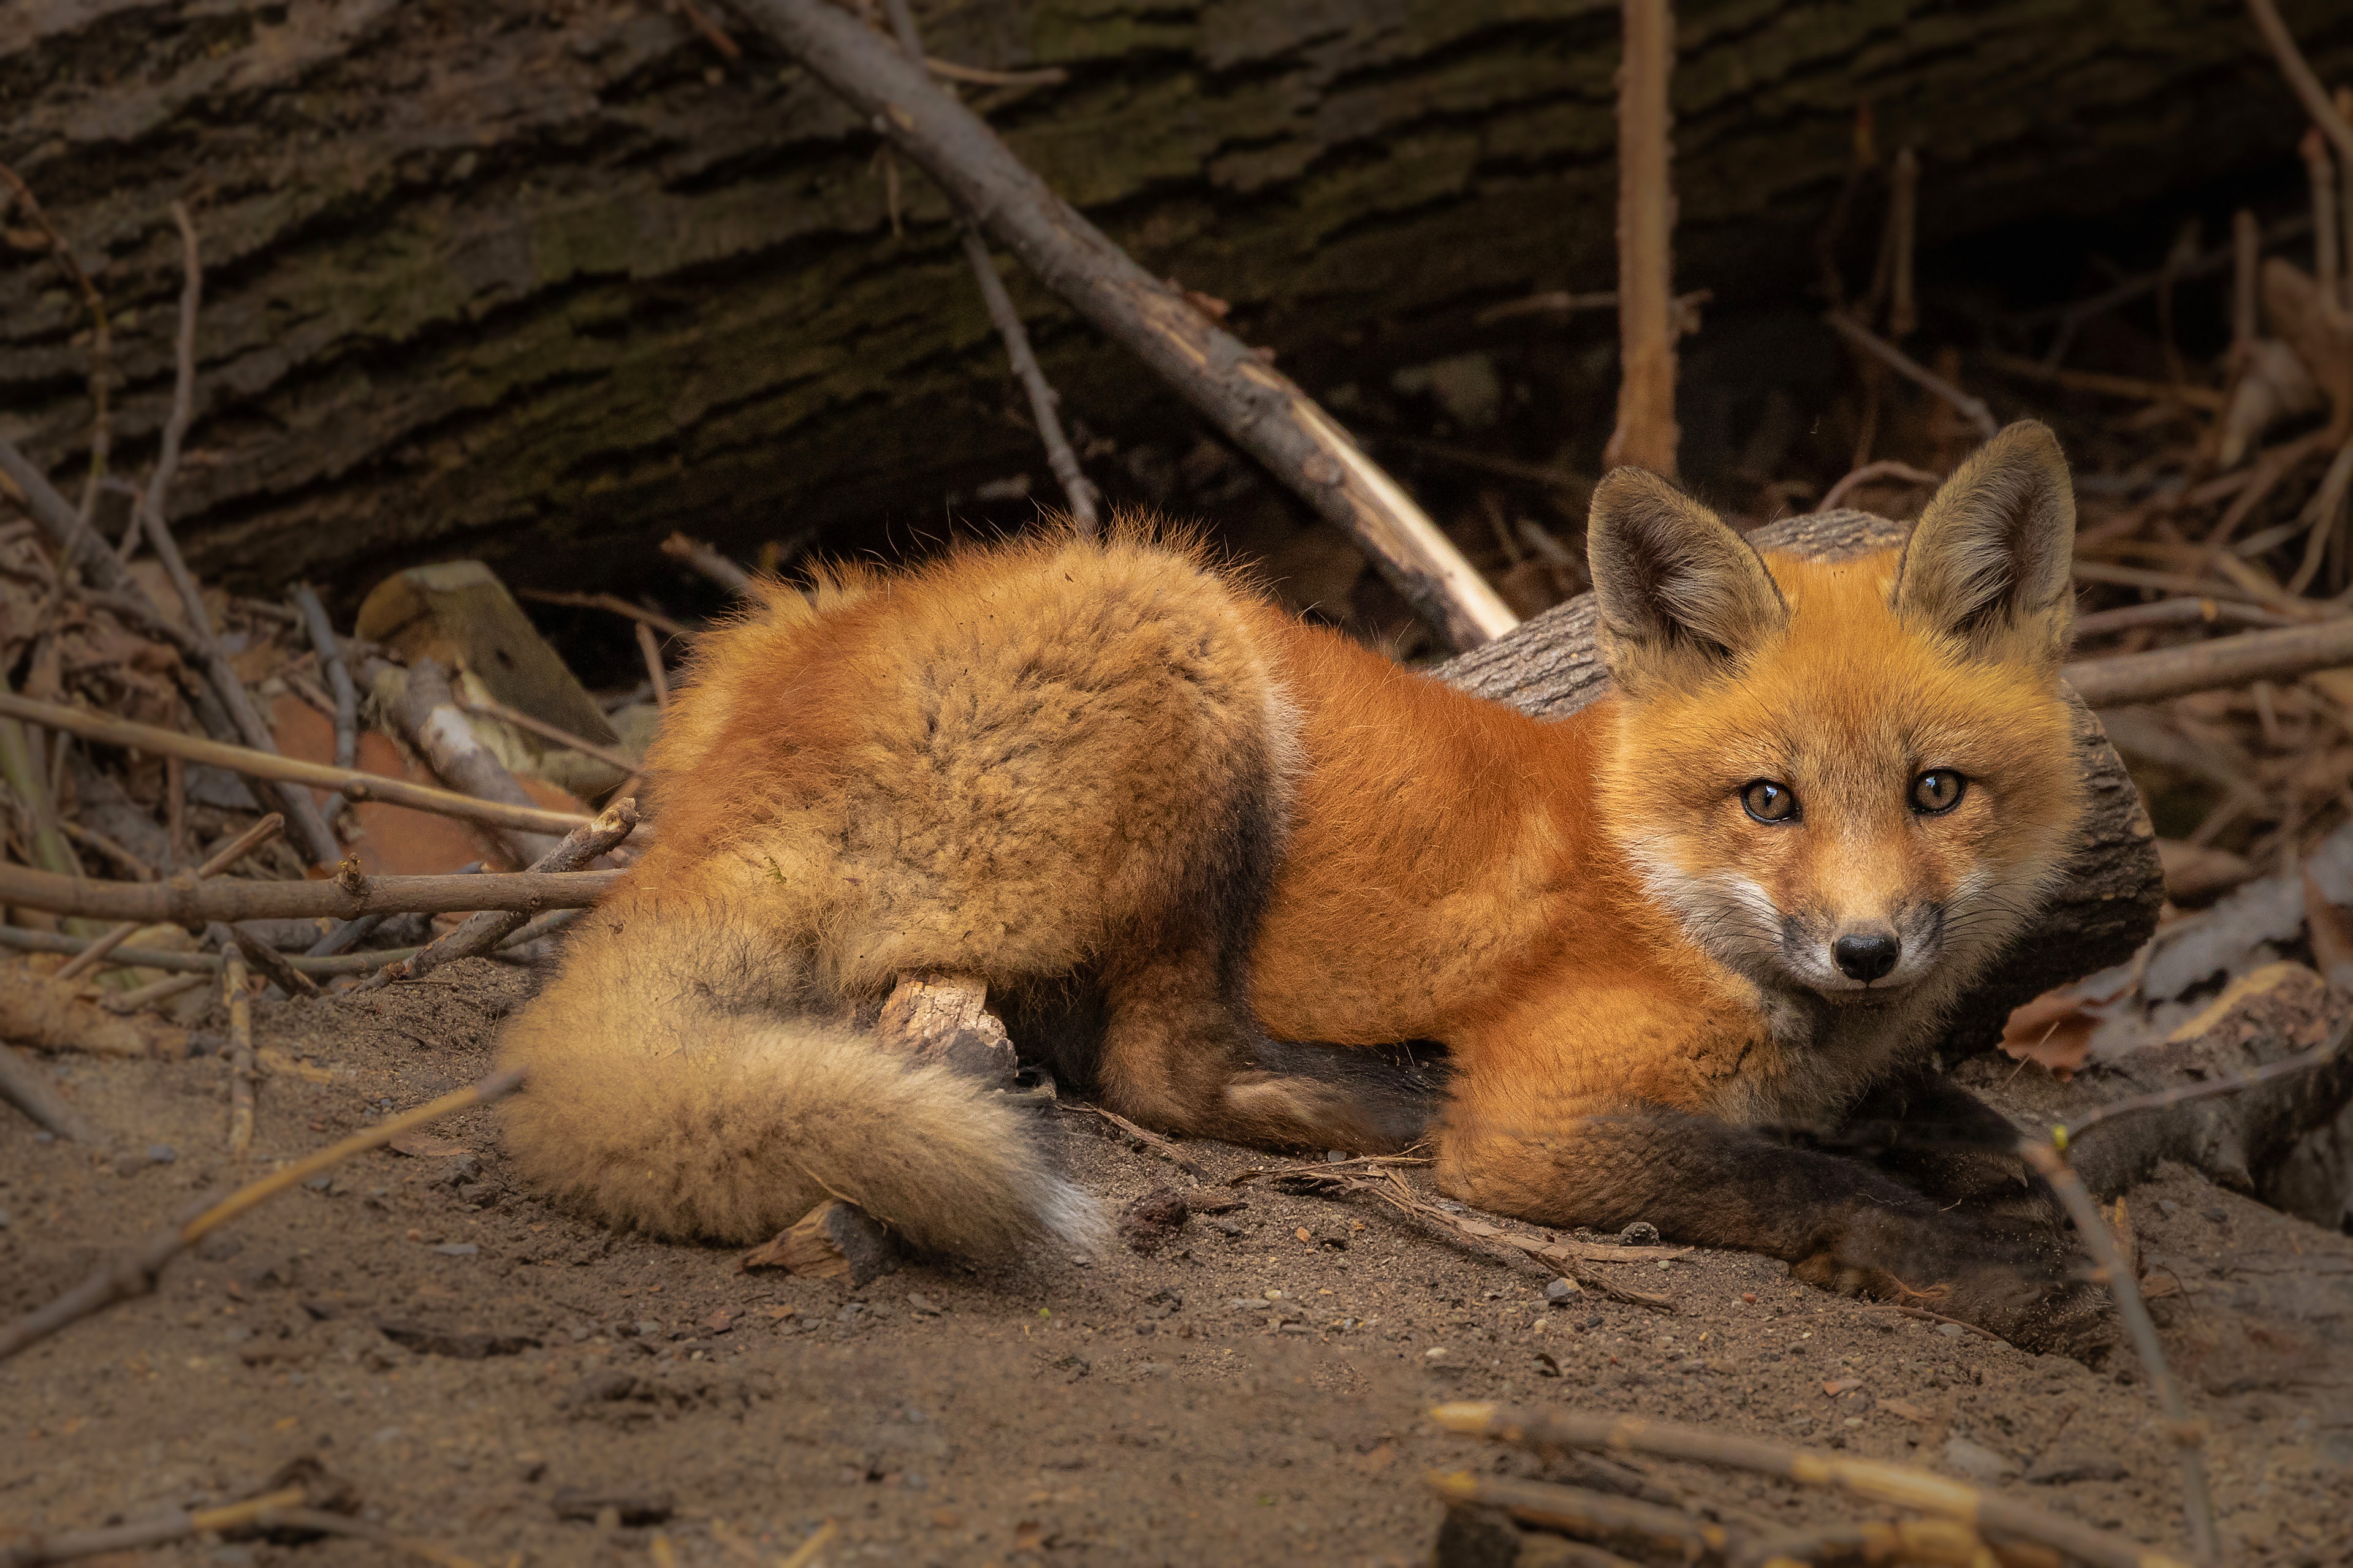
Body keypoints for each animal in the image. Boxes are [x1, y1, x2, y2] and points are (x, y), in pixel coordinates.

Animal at [496, 425, 2099, 1354]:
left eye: (1934, 791)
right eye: (1769, 800)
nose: (1866, 949)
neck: (1662, 879)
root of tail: (733, 777)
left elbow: (1896, 1123)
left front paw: (1972, 1149)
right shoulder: (1540, 1123)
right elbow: (1789, 1170)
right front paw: (1986, 1266)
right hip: (1195, 661)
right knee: (1158, 1066)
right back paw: (1382, 1096)